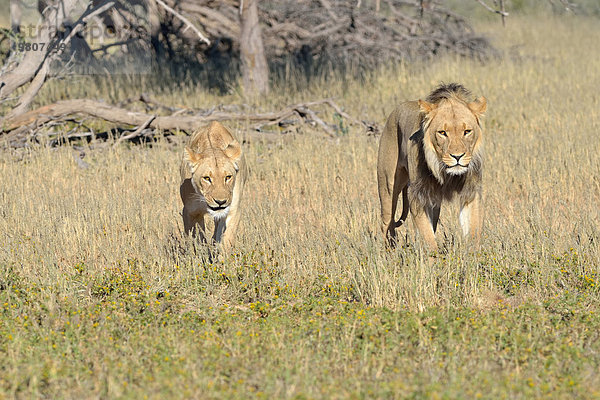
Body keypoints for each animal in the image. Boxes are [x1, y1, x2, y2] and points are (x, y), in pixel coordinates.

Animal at [178, 122, 246, 252]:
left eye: (228, 177)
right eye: (207, 178)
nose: (220, 202)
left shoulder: (233, 210)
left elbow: (226, 240)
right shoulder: (190, 211)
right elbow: (196, 239)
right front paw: (200, 254)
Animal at [378, 83, 490, 252]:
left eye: (467, 131)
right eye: (442, 133)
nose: (457, 156)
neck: (446, 173)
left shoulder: (470, 192)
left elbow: (473, 231)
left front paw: (472, 255)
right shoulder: (417, 196)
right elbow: (428, 238)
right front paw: (433, 258)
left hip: (435, 206)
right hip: (387, 188)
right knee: (387, 224)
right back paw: (390, 252)